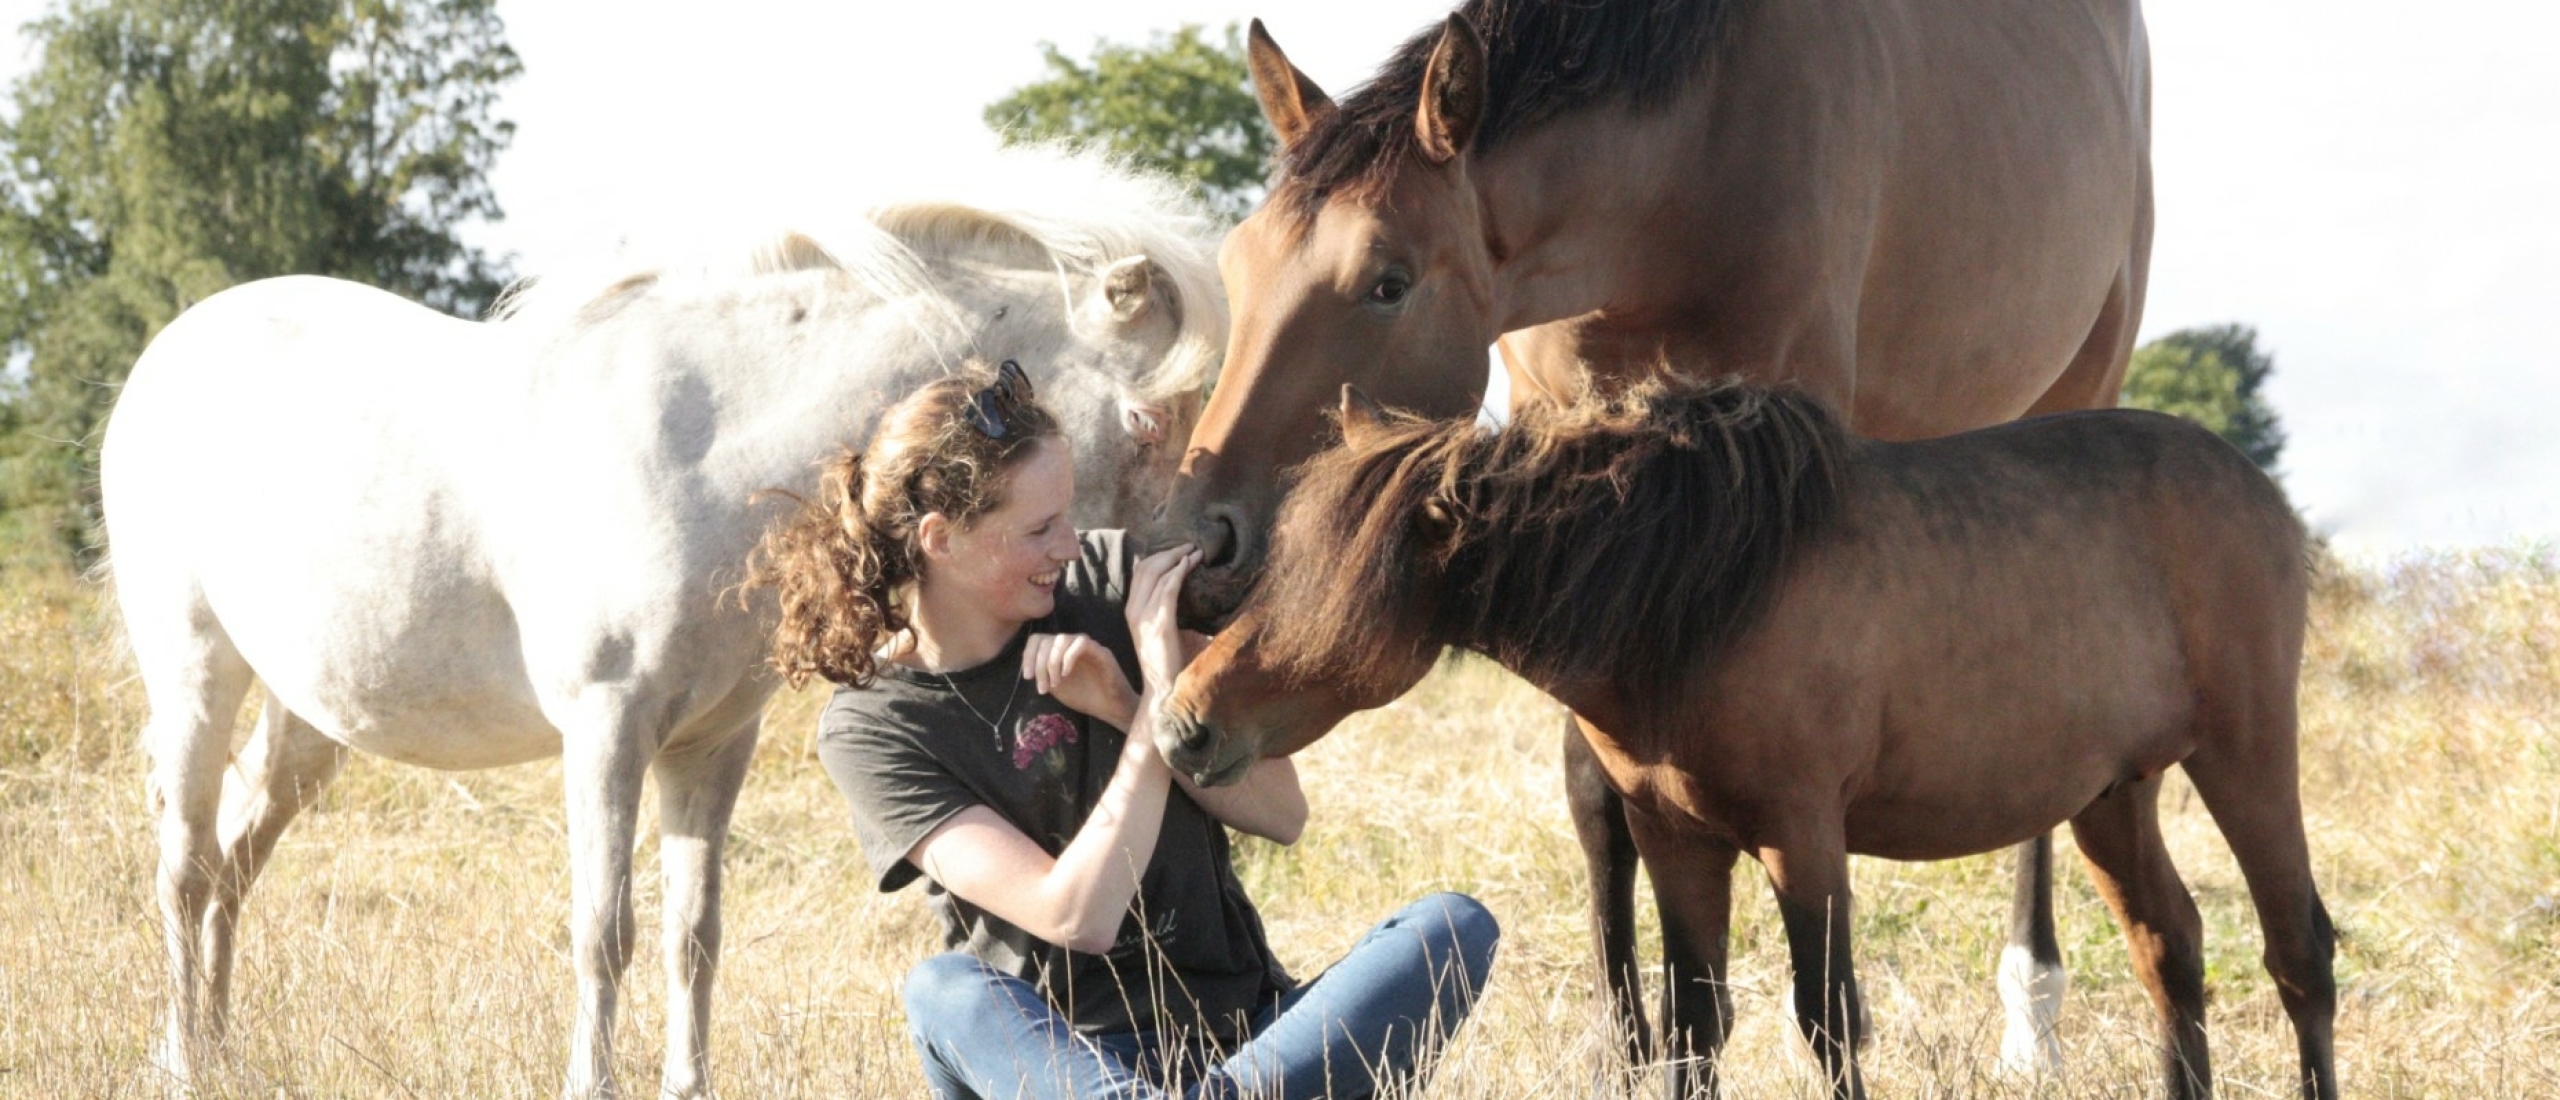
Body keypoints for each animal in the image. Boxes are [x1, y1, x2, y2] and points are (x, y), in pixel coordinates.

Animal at [98, 146, 1226, 1099]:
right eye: (1147, 416)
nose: (1207, 584)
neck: (705, 449)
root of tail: (163, 355)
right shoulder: (606, 728)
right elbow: (605, 930)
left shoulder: (712, 743)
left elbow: (694, 932)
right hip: (195, 673)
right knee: (185, 866)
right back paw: (185, 1063)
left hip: (310, 719)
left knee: (234, 862)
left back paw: (219, 1049)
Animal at [1146, 0, 2154, 1077]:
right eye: (1236, 265)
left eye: (1387, 282)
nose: (1198, 544)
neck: (1687, 155)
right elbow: (1598, 777)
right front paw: (1625, 1040)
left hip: (2071, 394)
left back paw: (2032, 1016)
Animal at [1160, 379, 2336, 1100]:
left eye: (1342, 592)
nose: (1183, 725)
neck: (1698, 592)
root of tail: (2261, 492)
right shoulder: (1676, 840)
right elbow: (1692, 1023)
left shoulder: (1801, 837)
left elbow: (1827, 1021)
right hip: (2112, 797)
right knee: (2171, 948)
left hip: (2245, 754)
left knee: (2299, 952)